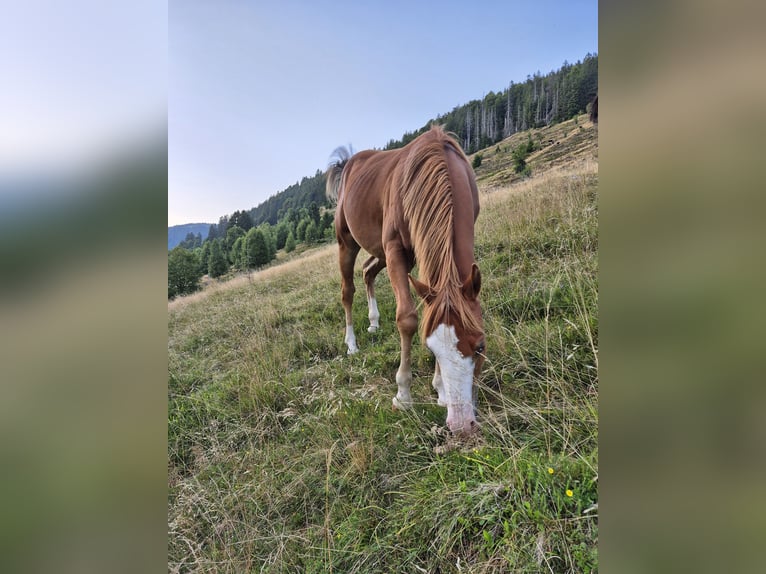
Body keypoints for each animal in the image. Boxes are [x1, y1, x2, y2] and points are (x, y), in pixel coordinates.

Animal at [326, 126, 485, 436]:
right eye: (431, 349)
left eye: (480, 346)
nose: (461, 424)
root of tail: (349, 162)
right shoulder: (395, 249)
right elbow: (408, 319)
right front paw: (403, 395)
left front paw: (440, 389)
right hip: (348, 243)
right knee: (347, 291)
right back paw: (352, 343)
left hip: (383, 252)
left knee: (368, 272)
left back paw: (374, 322)